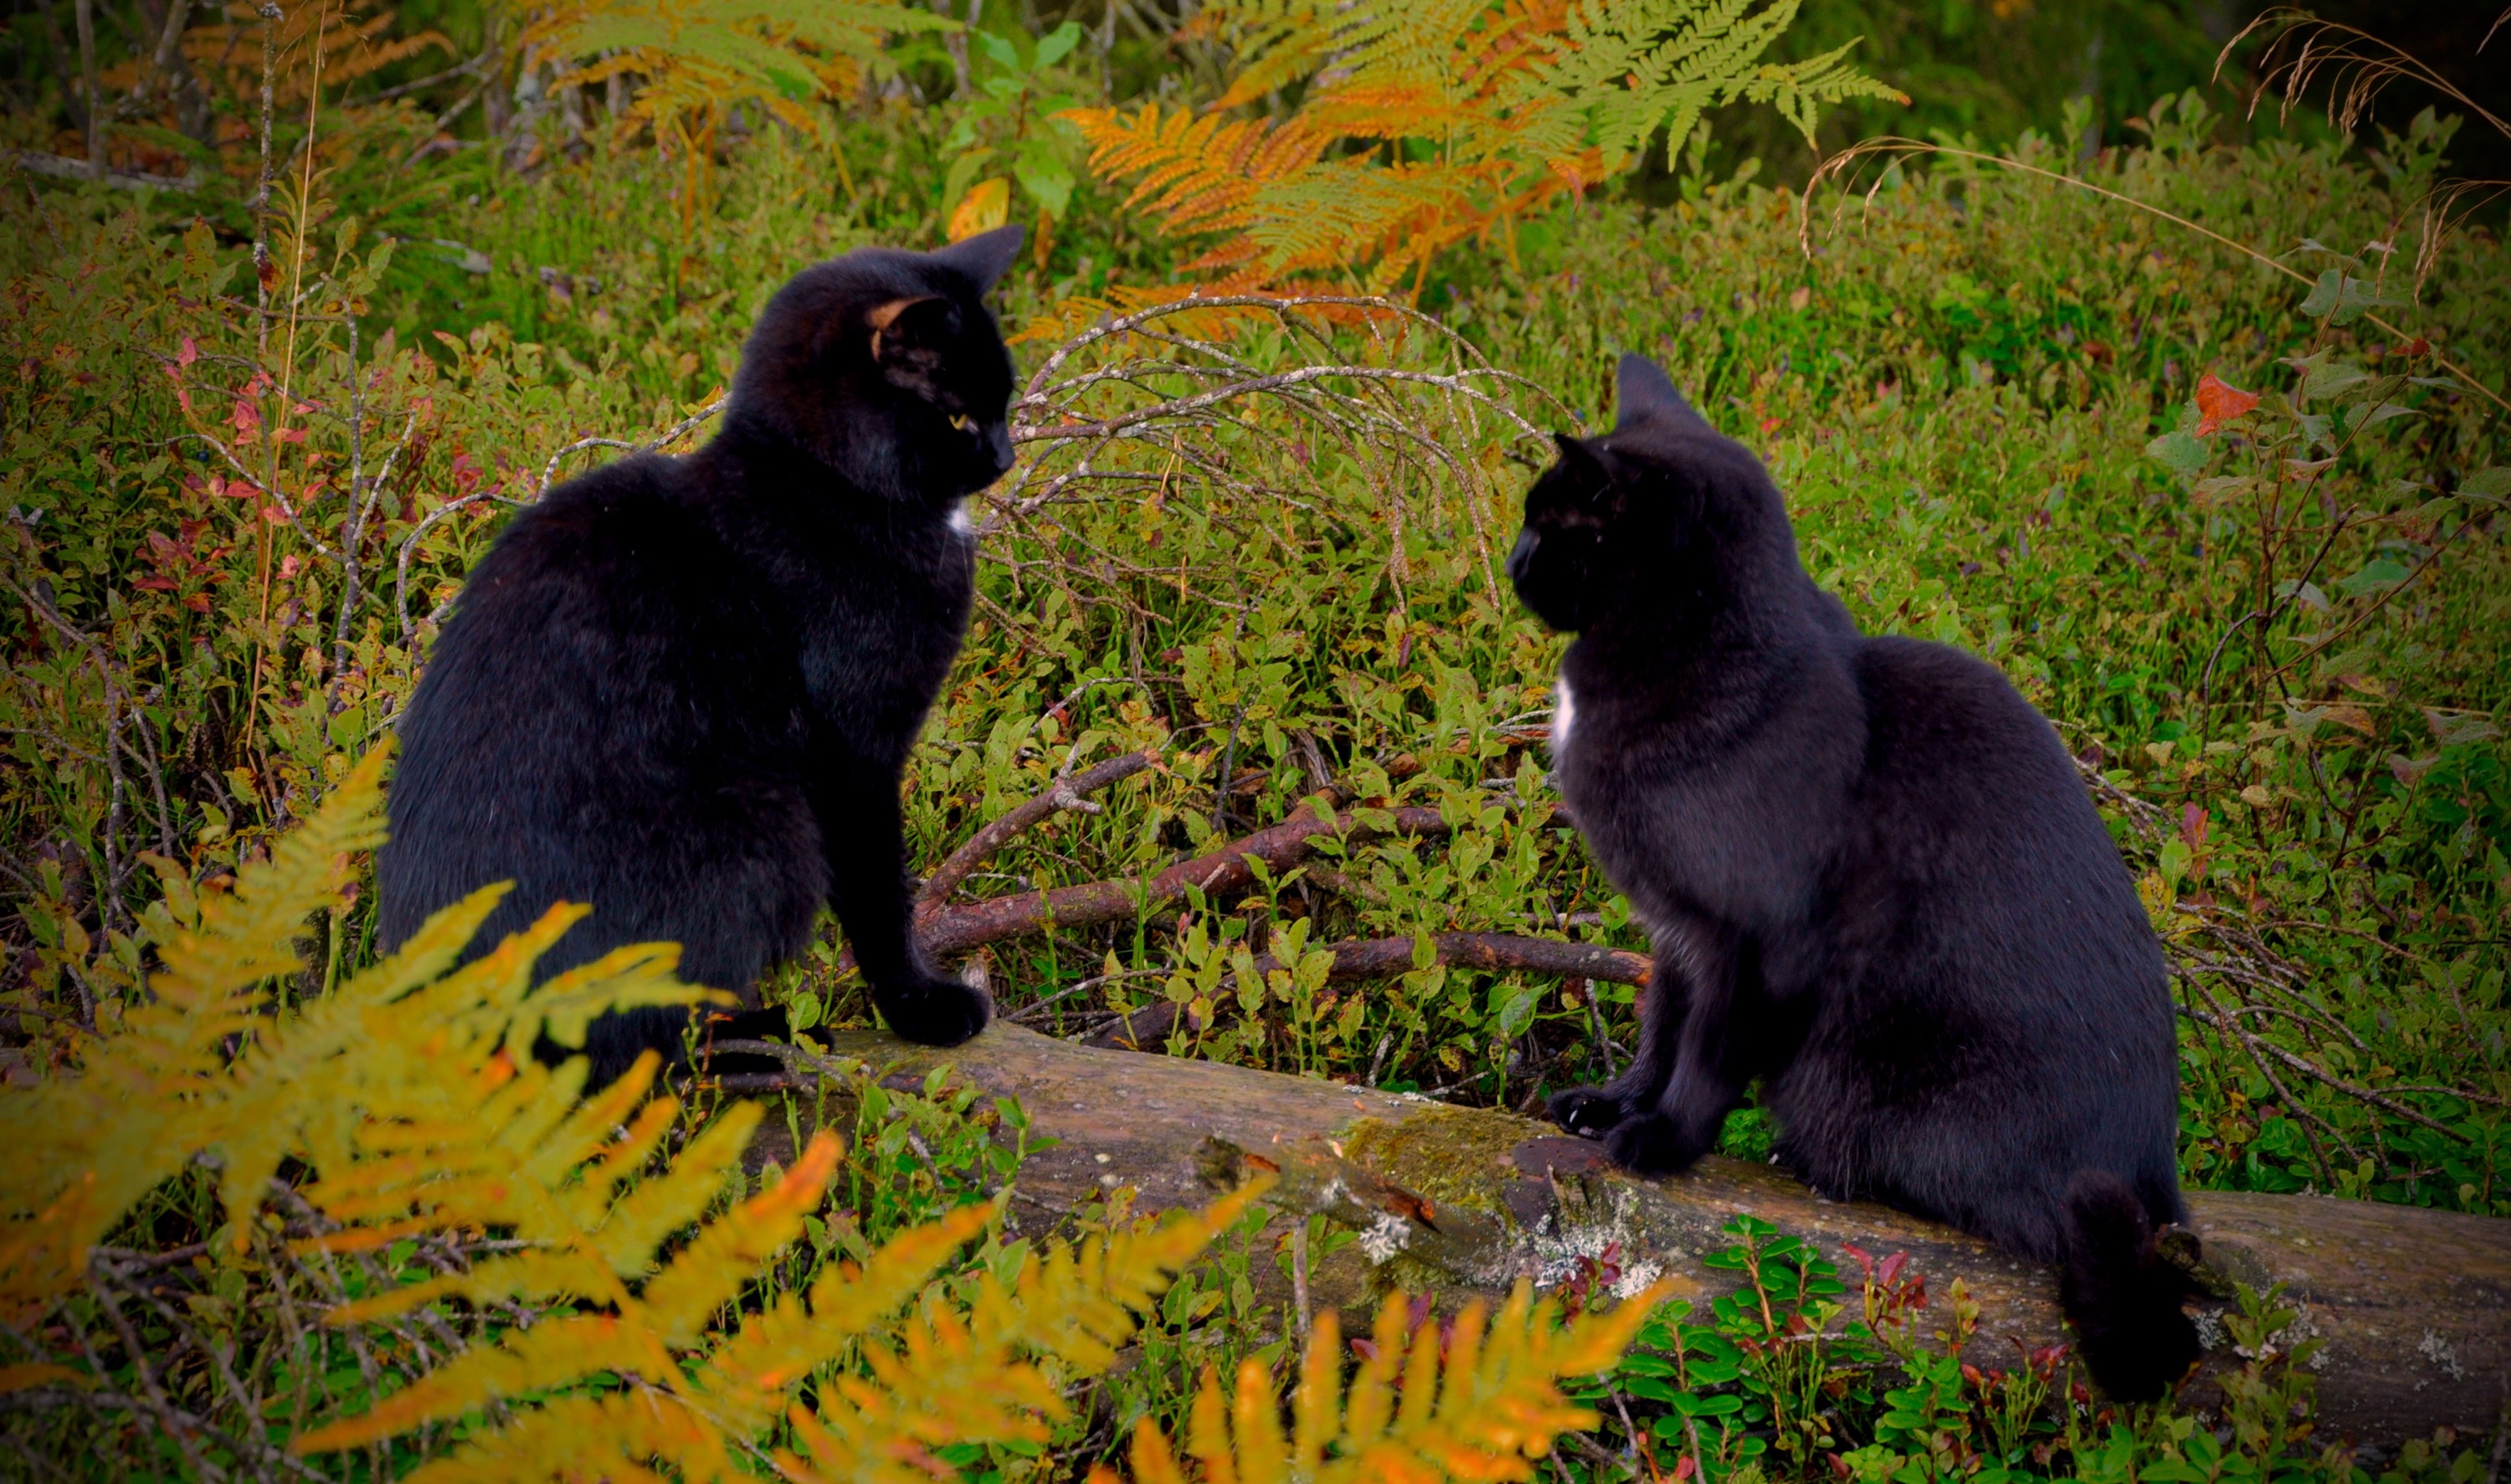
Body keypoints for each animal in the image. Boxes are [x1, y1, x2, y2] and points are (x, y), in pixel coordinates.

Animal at [377, 224, 1028, 1088]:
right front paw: (920, 1007)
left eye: (1004, 405)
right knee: (635, 1056)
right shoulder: (854, 755)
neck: (808, 482)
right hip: (763, 833)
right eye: (956, 417)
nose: (1006, 455)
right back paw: (761, 1036)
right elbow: (881, 892)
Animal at [1509, 353, 2200, 1403]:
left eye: (1555, 529)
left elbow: (1705, 1053)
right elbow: (1660, 1030)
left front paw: (1665, 1140)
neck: (1733, 666)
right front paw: (1617, 1103)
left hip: (1871, 1077)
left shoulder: (1748, 939)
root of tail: (2151, 1179)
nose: (1511, 560)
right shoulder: (1676, 933)